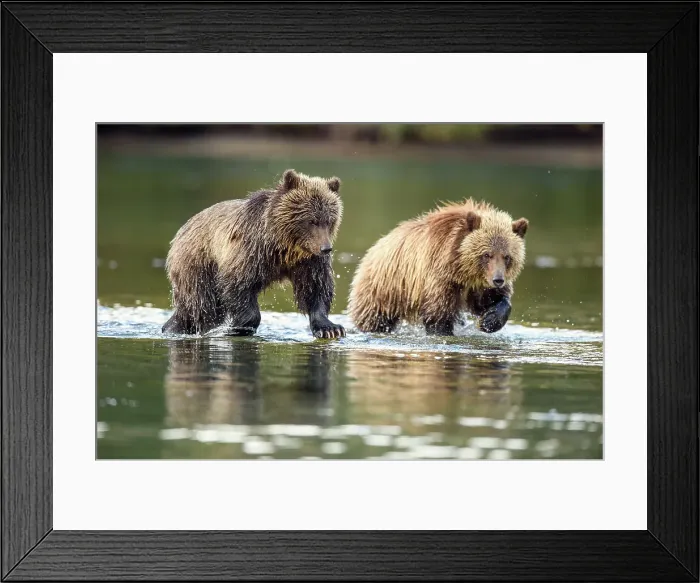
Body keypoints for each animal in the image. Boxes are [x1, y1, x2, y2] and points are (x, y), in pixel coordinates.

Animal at [161, 169, 346, 339]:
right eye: (311, 221)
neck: (284, 247)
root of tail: (180, 232)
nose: (326, 248)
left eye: (329, 221)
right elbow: (238, 283)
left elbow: (316, 287)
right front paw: (238, 327)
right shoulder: (251, 250)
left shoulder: (308, 261)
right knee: (204, 306)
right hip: (198, 265)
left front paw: (330, 328)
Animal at [347, 198, 528, 336]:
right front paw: (444, 332)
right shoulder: (440, 276)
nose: (498, 280)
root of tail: (374, 248)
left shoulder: (477, 286)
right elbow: (438, 315)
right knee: (373, 319)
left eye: (507, 256)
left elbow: (493, 300)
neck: (462, 269)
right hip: (383, 290)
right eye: (486, 254)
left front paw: (490, 320)